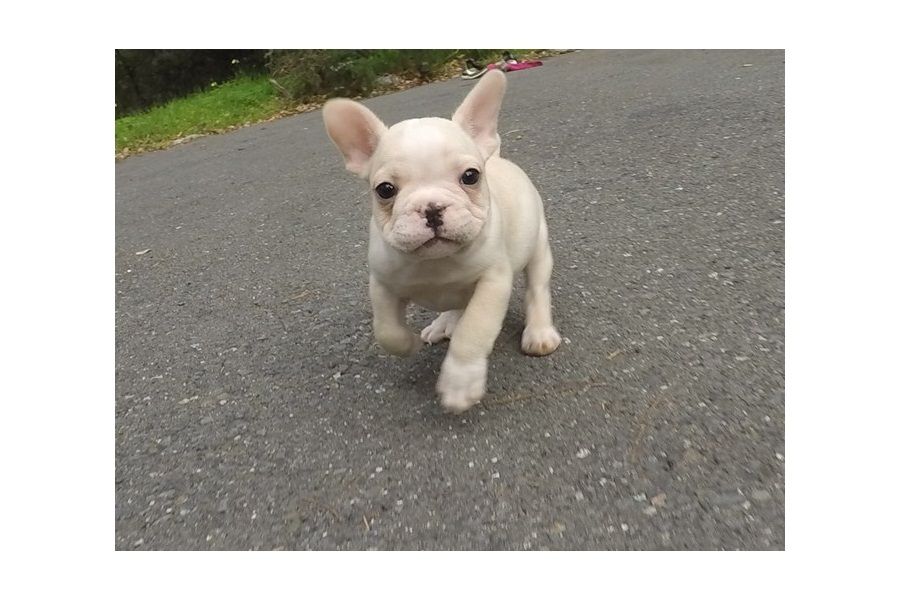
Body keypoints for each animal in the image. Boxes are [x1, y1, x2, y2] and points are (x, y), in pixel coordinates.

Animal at [322, 70, 561, 413]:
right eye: (384, 190)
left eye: (471, 176)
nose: (432, 208)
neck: (434, 263)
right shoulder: (382, 284)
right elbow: (386, 331)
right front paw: (408, 343)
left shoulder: (493, 282)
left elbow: (474, 330)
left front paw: (460, 382)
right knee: (455, 305)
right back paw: (443, 323)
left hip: (538, 246)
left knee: (537, 288)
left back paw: (539, 332)